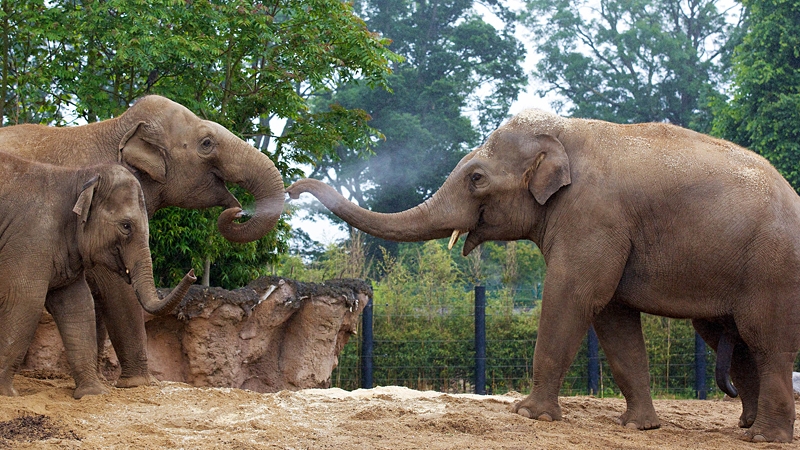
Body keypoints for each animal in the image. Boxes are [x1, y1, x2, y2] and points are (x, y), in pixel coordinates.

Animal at [0, 152, 196, 399]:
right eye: (126, 226)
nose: (192, 273)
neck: (77, 177)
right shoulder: (31, 237)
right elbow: (24, 301)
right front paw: (6, 394)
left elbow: (78, 305)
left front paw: (92, 393)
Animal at [287, 109, 800, 443]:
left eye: (476, 178)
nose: (291, 189)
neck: (564, 132)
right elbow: (613, 319)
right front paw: (638, 427)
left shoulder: (593, 216)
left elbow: (572, 296)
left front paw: (529, 415)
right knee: (728, 337)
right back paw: (747, 427)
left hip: (773, 266)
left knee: (765, 339)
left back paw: (765, 437)